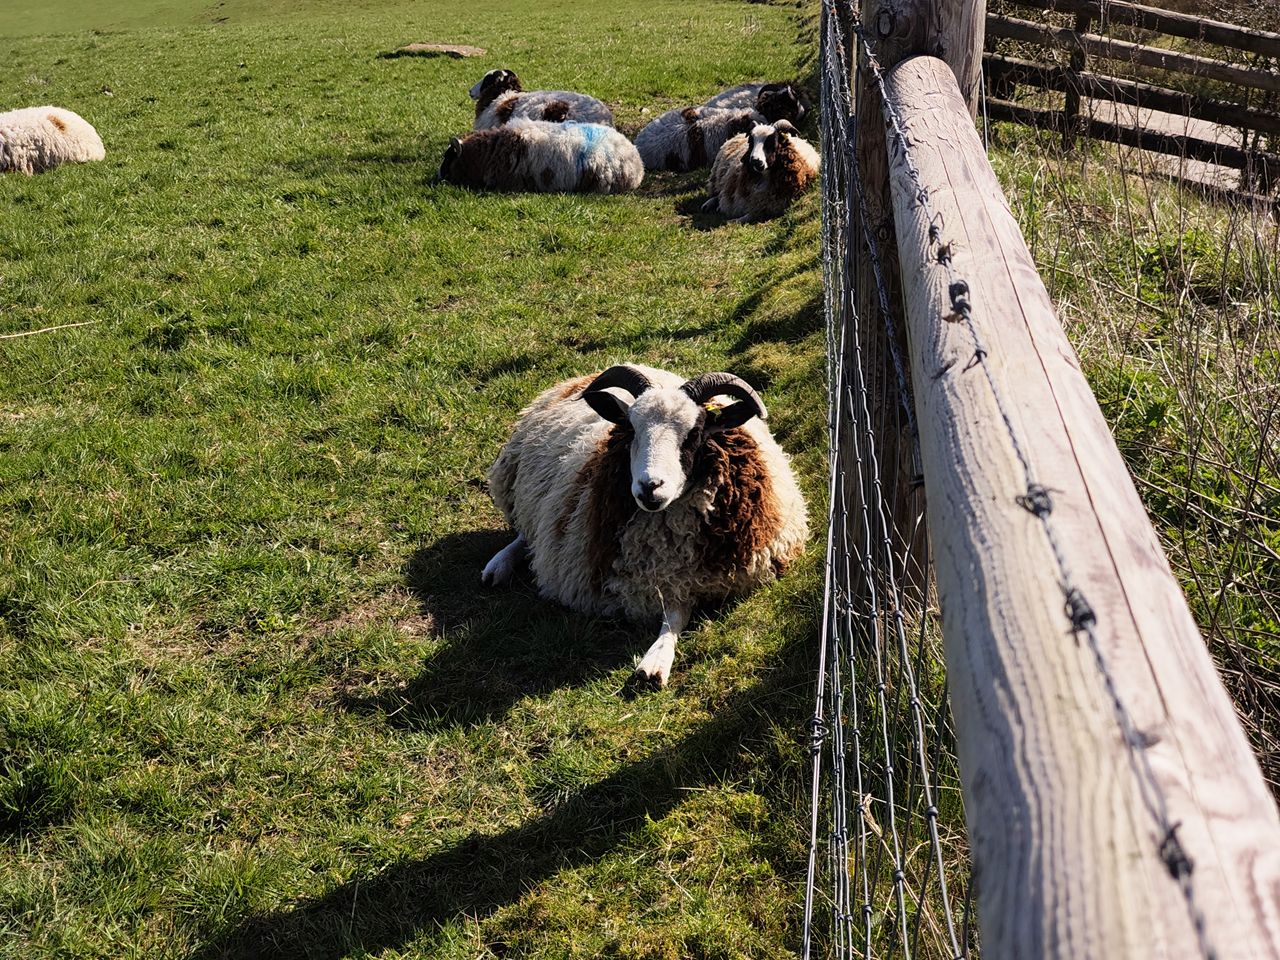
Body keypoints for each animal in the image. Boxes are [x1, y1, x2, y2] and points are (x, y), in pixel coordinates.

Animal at [482, 363, 809, 689]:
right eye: (631, 429)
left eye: (694, 433)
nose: (649, 487)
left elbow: (675, 615)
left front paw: (655, 661)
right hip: (516, 487)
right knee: (527, 535)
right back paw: (498, 566)